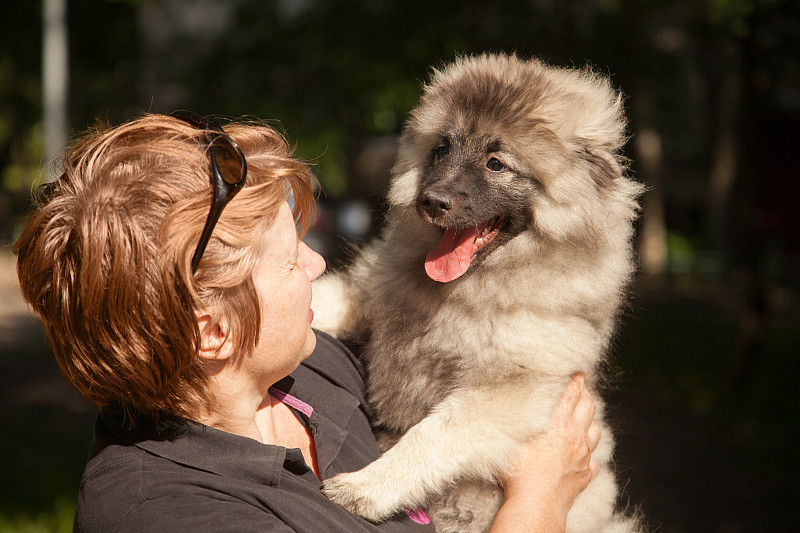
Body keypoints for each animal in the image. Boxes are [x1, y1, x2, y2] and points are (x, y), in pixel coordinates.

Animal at [310, 54, 644, 532]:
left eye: (496, 163)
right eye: (441, 151)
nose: (431, 201)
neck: (462, 294)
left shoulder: (510, 389)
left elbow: (433, 433)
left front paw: (367, 487)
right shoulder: (368, 293)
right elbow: (317, 299)